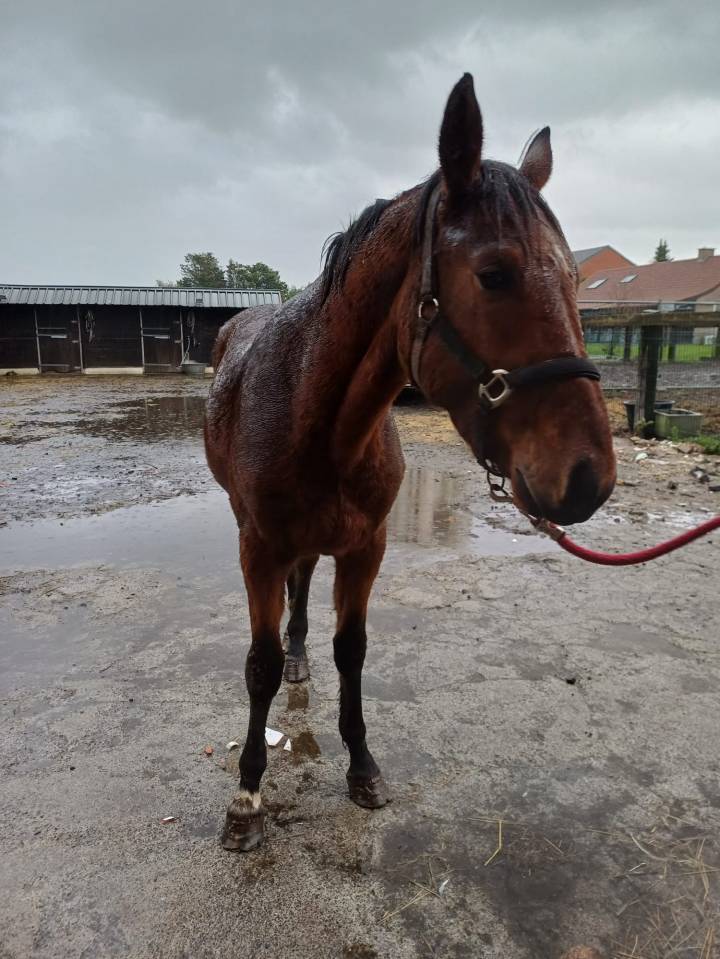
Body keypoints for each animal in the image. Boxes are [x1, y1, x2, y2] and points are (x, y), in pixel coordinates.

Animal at [204, 73, 616, 852]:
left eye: (577, 278)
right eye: (493, 274)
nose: (588, 479)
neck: (319, 422)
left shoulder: (367, 547)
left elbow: (353, 650)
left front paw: (362, 766)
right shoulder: (256, 547)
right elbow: (259, 666)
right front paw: (246, 796)